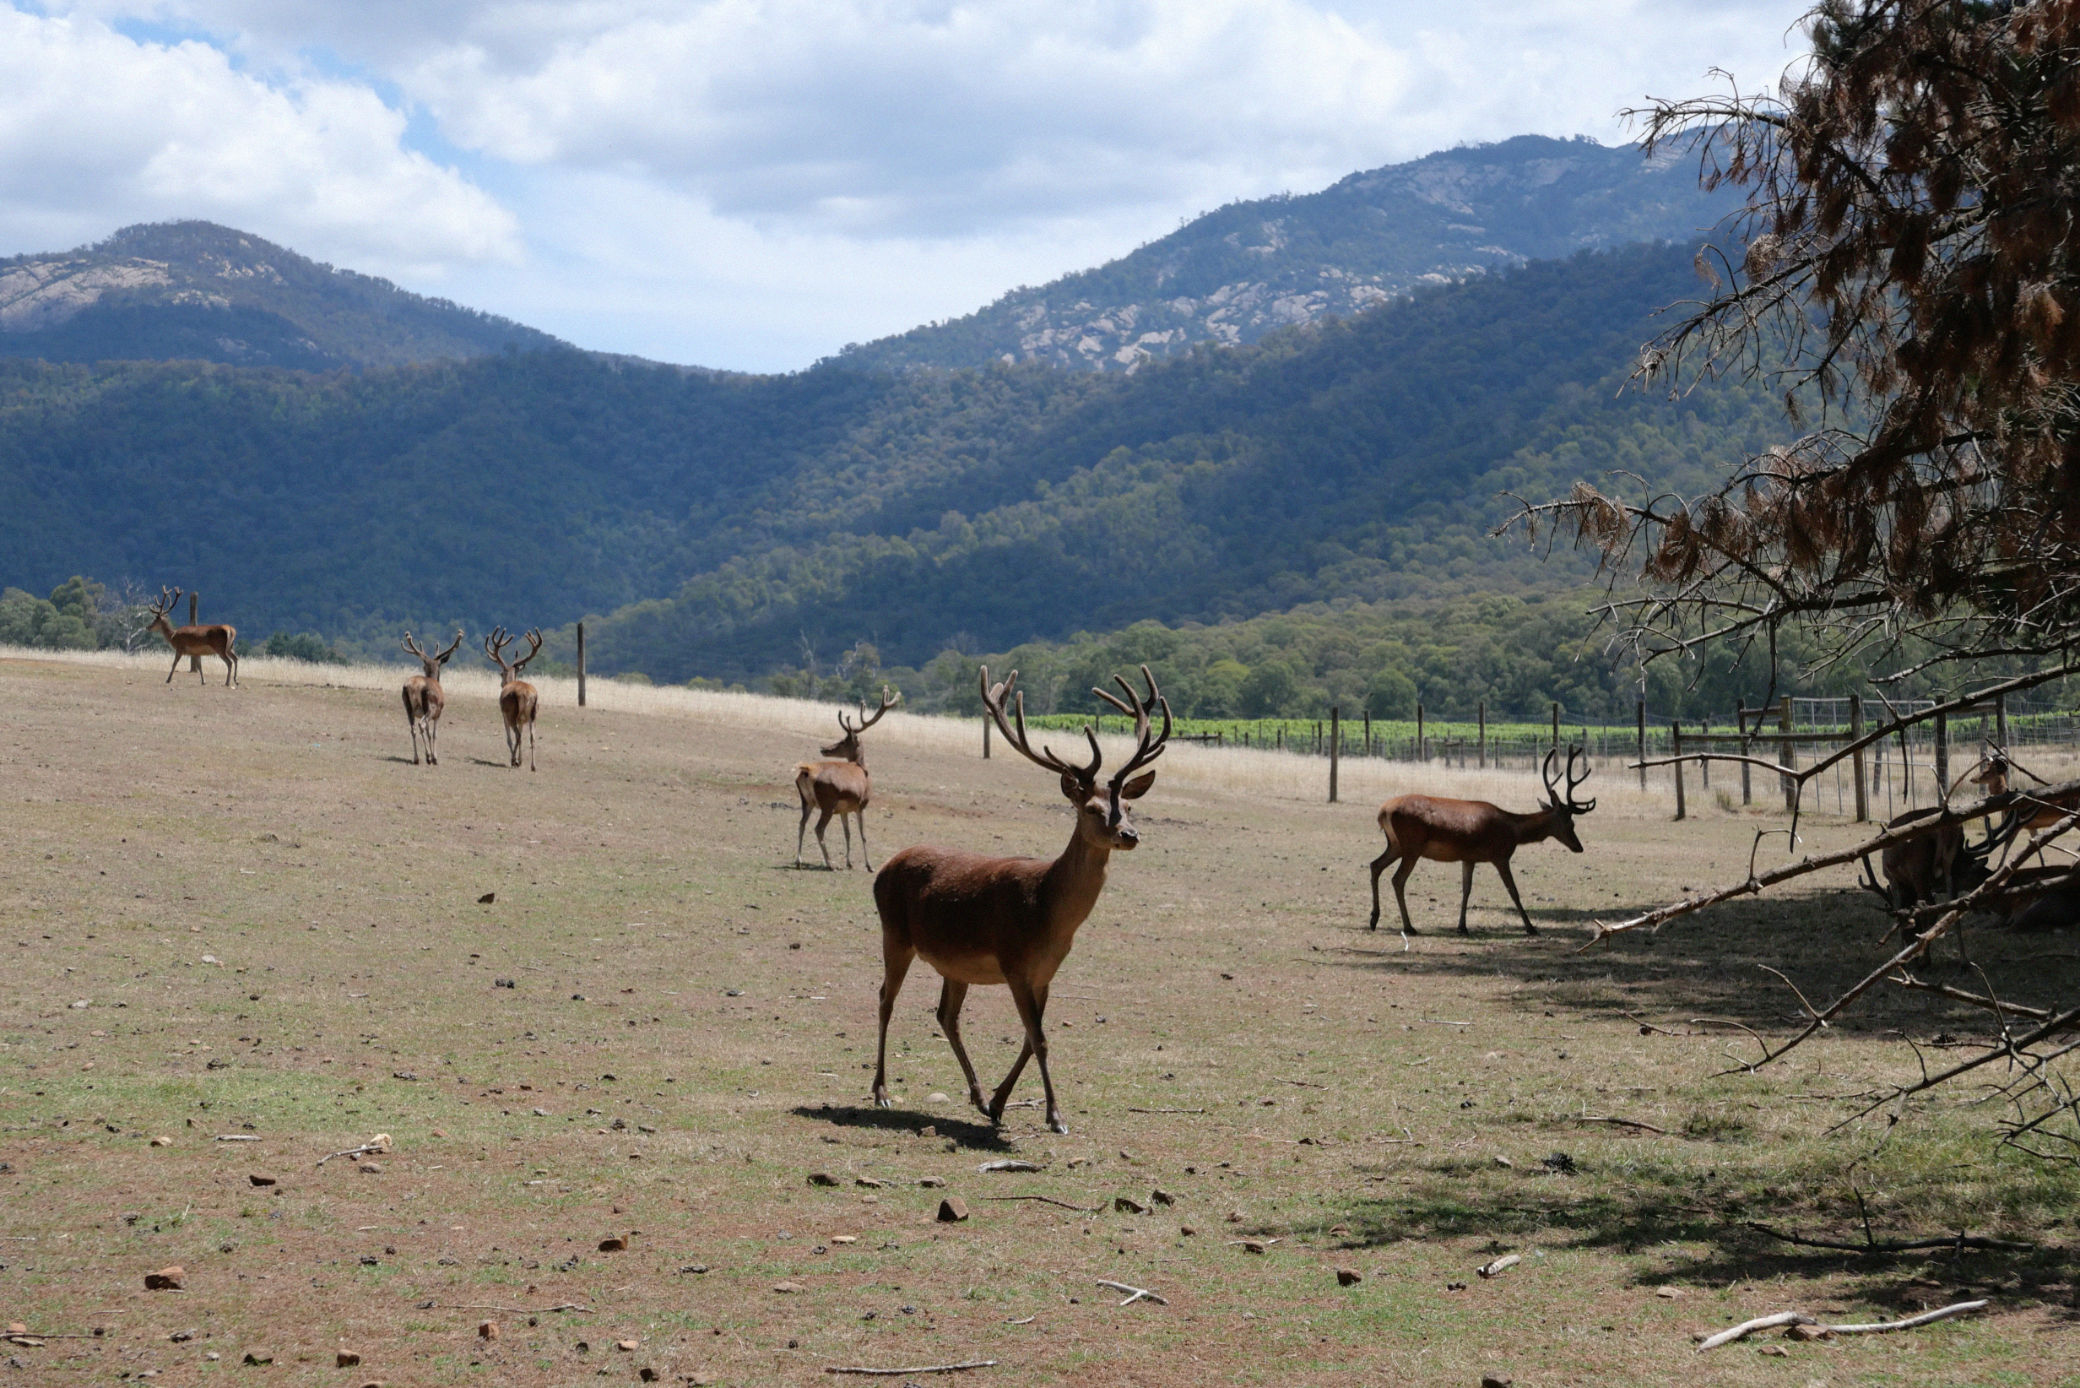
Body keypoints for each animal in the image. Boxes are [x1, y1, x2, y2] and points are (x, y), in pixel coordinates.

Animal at [400, 628, 464, 766]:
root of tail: (414, 685)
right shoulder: (439, 713)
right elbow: (434, 734)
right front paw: (435, 757)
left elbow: (429, 733)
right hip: (430, 707)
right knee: (421, 725)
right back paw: (429, 757)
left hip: (408, 707)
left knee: (413, 728)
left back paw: (416, 758)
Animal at [483, 627, 542, 771]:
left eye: (501, 673)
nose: (501, 683)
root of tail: (528, 694)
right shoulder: (522, 720)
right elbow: (521, 736)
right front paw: (521, 760)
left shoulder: (503, 714)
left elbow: (509, 738)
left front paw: (516, 760)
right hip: (533, 714)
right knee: (532, 737)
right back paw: (533, 766)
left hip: (512, 712)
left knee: (518, 735)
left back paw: (513, 760)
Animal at [794, 686, 901, 870]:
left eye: (843, 741)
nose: (824, 748)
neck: (862, 768)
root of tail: (806, 770)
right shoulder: (861, 804)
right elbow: (863, 834)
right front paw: (869, 865)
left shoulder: (844, 809)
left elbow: (847, 833)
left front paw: (849, 863)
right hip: (827, 803)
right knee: (818, 828)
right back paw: (829, 863)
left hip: (806, 801)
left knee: (801, 824)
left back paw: (799, 861)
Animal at [869, 664, 1170, 1136]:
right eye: (1091, 808)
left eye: (1128, 806)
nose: (1130, 834)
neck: (1047, 914)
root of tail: (883, 868)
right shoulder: (1014, 963)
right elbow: (1040, 1038)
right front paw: (1056, 1116)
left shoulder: (1045, 972)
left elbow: (1032, 1038)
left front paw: (997, 1103)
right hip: (894, 933)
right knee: (886, 999)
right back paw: (880, 1092)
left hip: (954, 964)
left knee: (946, 1016)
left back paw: (976, 1096)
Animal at [1366, 747, 1595, 936]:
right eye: (1570, 822)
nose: (1579, 847)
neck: (1514, 830)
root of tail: (1383, 811)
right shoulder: (1500, 856)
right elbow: (1513, 891)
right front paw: (1530, 927)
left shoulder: (1469, 858)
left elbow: (1466, 889)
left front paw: (1462, 927)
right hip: (1412, 846)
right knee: (1397, 879)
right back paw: (1408, 926)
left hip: (1395, 845)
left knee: (1375, 865)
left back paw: (1374, 920)